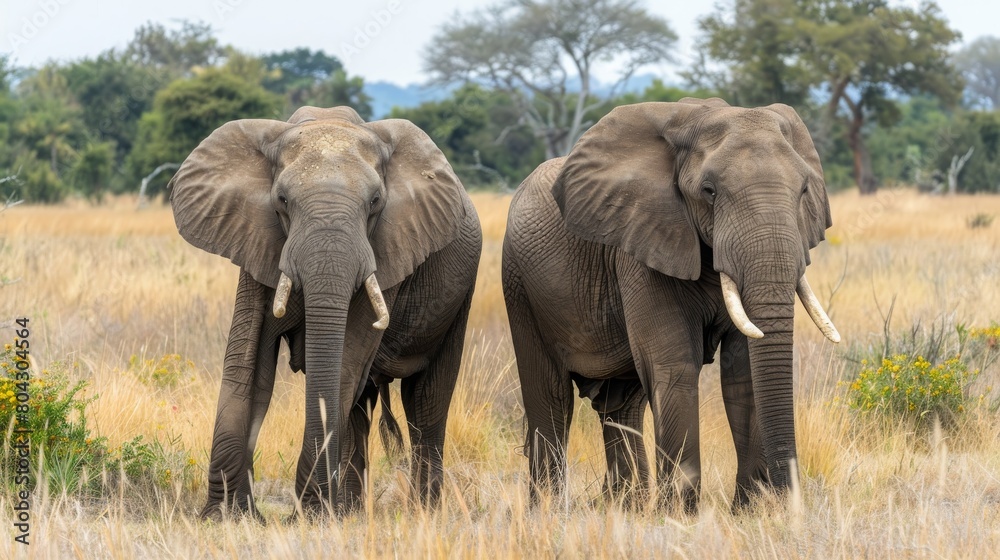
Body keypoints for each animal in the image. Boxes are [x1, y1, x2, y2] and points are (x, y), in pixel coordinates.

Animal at [170, 106, 482, 520]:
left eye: (375, 201)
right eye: (282, 200)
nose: (300, 510)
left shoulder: (387, 249)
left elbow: (347, 357)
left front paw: (310, 515)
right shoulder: (257, 239)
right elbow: (248, 360)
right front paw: (228, 516)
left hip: (459, 299)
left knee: (426, 400)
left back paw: (420, 512)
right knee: (361, 408)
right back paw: (350, 510)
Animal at [504, 97, 840, 512]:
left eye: (804, 189)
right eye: (709, 191)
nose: (786, 500)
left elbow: (741, 373)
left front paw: (748, 511)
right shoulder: (642, 244)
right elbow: (674, 366)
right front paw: (680, 516)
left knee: (621, 405)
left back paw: (626, 506)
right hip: (518, 283)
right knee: (550, 397)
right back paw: (550, 511)